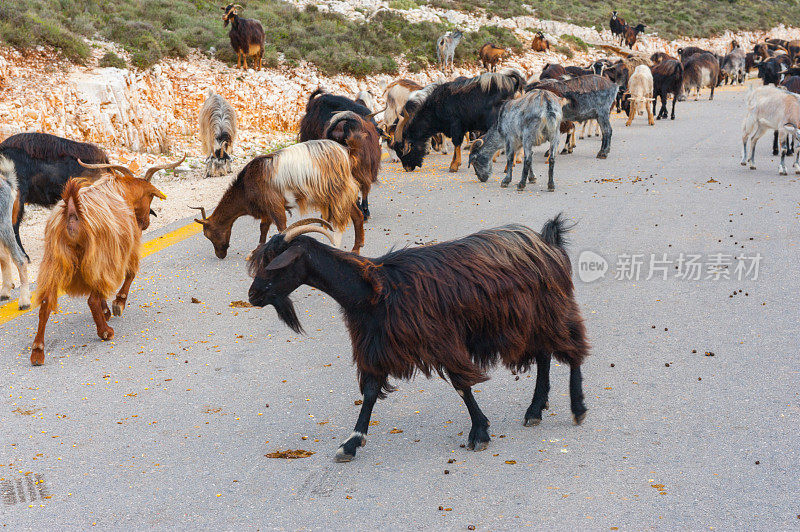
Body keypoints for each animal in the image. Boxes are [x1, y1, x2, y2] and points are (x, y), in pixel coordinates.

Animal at [30, 157, 181, 366]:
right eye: (150, 197)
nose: (145, 223)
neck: (122, 191)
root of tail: (72, 212)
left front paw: (107, 310)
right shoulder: (124, 247)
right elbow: (130, 273)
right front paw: (118, 304)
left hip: (55, 259)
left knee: (45, 302)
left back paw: (37, 352)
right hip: (97, 254)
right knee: (91, 299)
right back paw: (105, 332)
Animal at [247, 215, 592, 462]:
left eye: (275, 264)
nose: (252, 296)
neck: (374, 289)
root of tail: (547, 242)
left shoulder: (442, 338)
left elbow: (462, 385)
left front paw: (479, 432)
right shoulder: (376, 346)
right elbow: (370, 392)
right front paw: (351, 443)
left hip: (551, 309)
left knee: (573, 348)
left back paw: (577, 407)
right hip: (530, 320)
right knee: (545, 354)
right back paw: (534, 410)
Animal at [392, 69, 524, 171]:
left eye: (402, 149)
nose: (407, 168)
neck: (436, 106)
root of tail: (514, 87)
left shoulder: (456, 125)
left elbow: (456, 143)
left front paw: (453, 166)